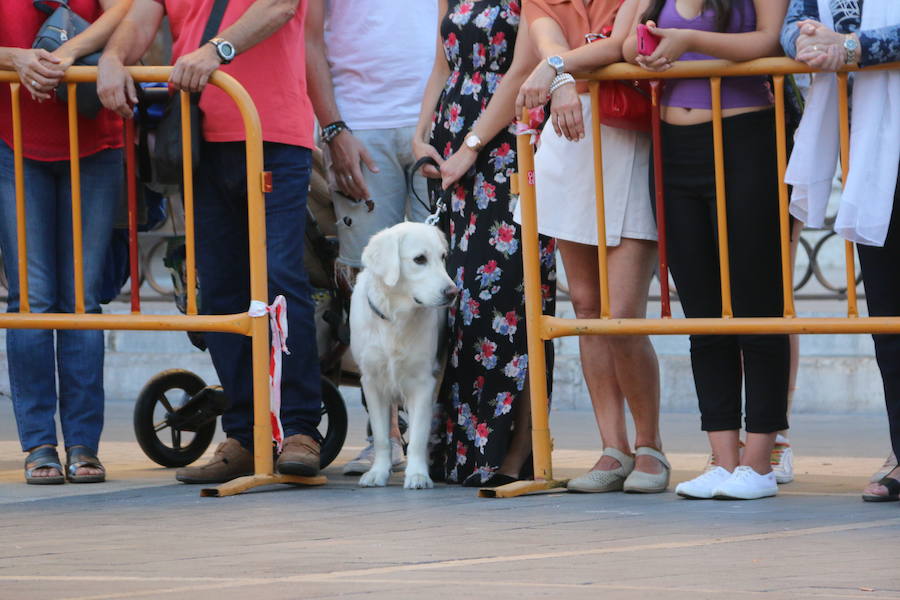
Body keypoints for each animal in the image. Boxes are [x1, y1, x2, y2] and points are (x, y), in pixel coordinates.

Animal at [350, 223, 458, 490]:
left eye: (442, 257)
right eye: (419, 259)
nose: (453, 292)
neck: (395, 318)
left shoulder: (423, 383)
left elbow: (418, 435)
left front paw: (418, 474)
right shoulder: (372, 382)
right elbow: (381, 436)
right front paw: (378, 472)